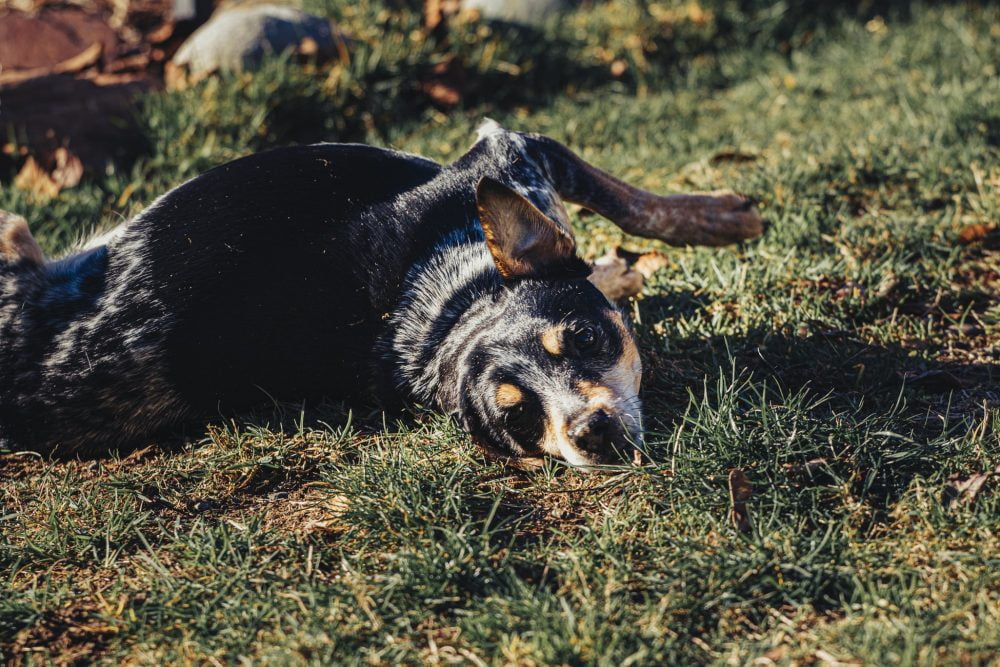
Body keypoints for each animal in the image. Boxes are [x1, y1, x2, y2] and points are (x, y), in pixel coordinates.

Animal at [0, 121, 756, 464]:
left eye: (584, 338)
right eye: (518, 420)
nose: (589, 432)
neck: (437, 307)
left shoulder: (512, 154)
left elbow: (630, 201)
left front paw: (719, 217)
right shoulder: (511, 154)